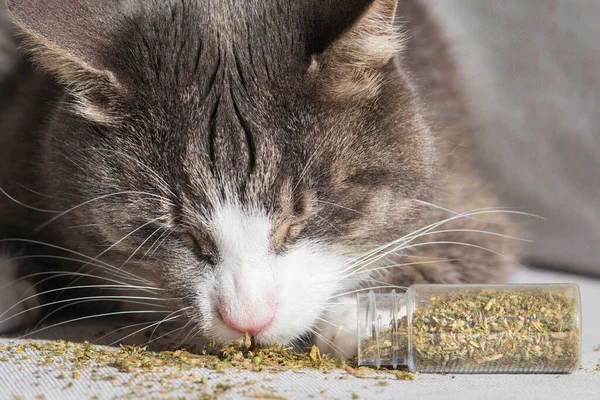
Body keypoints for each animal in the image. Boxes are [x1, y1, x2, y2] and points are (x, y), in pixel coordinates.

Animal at [0, 0, 516, 356]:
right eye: (183, 236)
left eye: (297, 225)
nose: (248, 319)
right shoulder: (23, 131)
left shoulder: (463, 190)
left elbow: (467, 245)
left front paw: (361, 315)